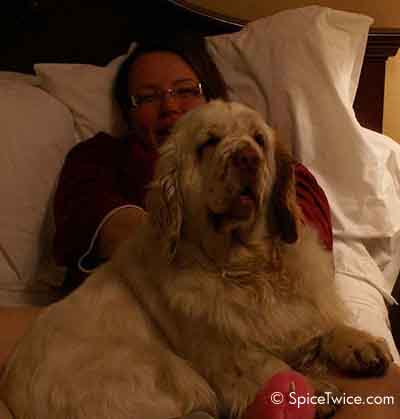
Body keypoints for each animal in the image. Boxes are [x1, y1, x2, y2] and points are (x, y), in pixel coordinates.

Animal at [0, 100, 392, 419]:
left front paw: (360, 343)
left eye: (259, 139)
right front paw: (313, 390)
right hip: (162, 371)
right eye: (209, 143)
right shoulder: (224, 360)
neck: (246, 268)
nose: (247, 157)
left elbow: (320, 324)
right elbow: (264, 363)